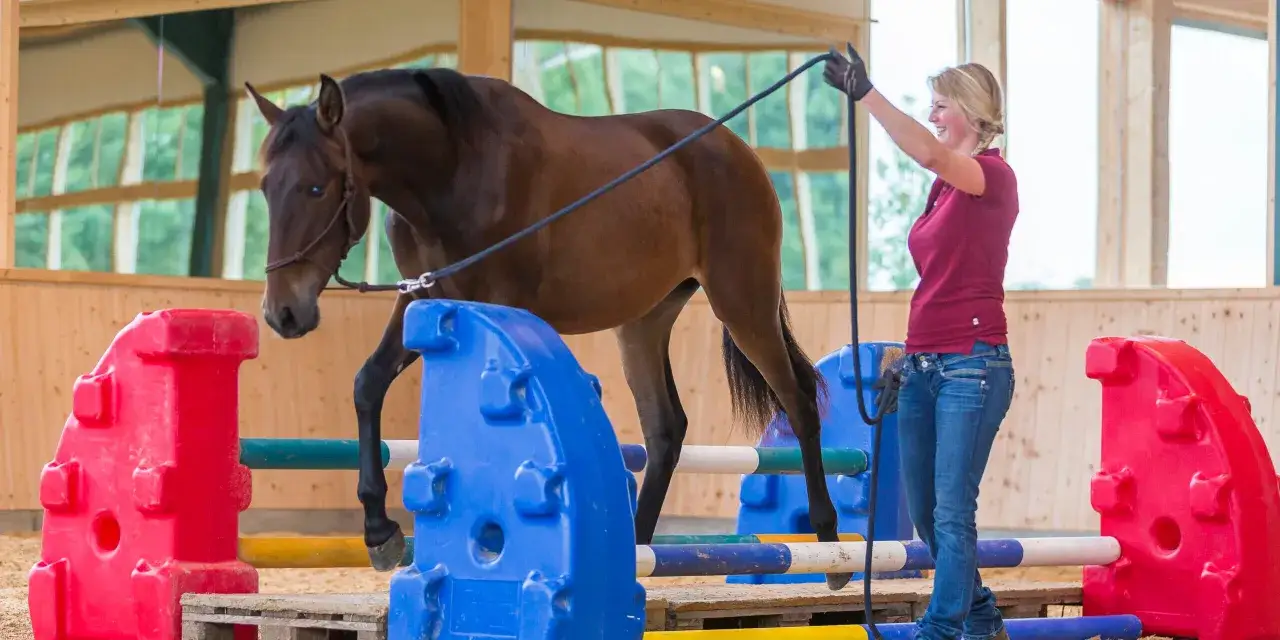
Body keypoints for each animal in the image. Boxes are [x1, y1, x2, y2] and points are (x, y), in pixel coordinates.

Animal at [244, 65, 850, 590]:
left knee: (799, 402)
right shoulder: (425, 298)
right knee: (665, 429)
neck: (454, 165)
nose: (283, 312)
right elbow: (368, 384)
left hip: (743, 301)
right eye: (266, 187)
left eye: (317, 188)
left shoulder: (493, 305)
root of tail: (737, 150)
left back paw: (831, 546)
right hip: (643, 322)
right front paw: (379, 530)